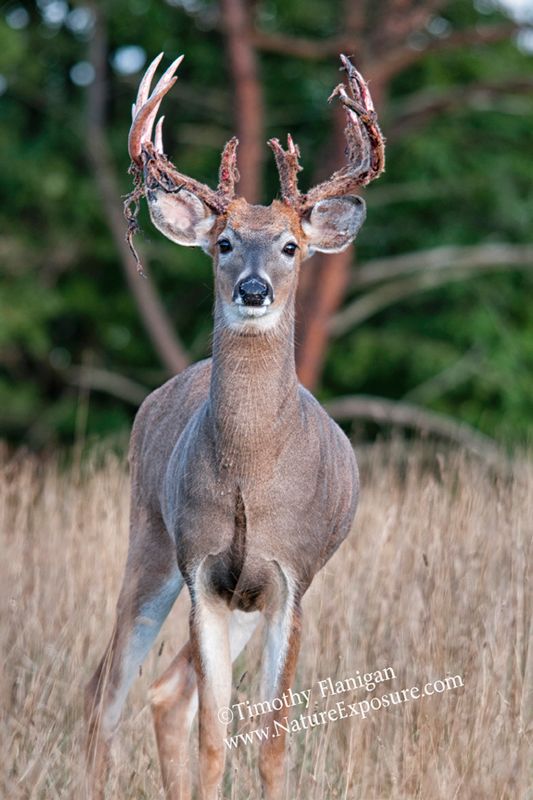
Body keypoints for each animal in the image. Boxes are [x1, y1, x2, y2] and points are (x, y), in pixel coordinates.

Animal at [84, 51, 384, 800]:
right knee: (109, 687)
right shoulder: (203, 574)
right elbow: (216, 738)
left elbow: (273, 742)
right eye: (222, 242)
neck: (253, 472)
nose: (253, 289)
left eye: (290, 245)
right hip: (149, 539)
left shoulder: (289, 579)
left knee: (164, 691)